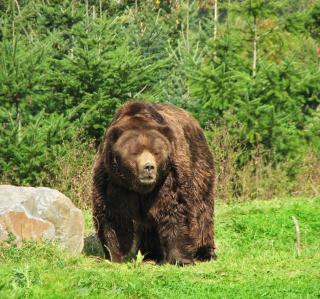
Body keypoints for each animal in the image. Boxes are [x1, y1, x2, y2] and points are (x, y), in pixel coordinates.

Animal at [93, 102, 218, 266]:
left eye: (156, 152)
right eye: (135, 152)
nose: (149, 167)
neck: (140, 187)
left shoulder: (169, 176)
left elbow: (176, 210)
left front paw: (181, 259)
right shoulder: (112, 182)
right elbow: (113, 217)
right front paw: (115, 256)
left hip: (198, 159)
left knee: (201, 207)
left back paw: (205, 252)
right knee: (147, 225)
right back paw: (150, 254)